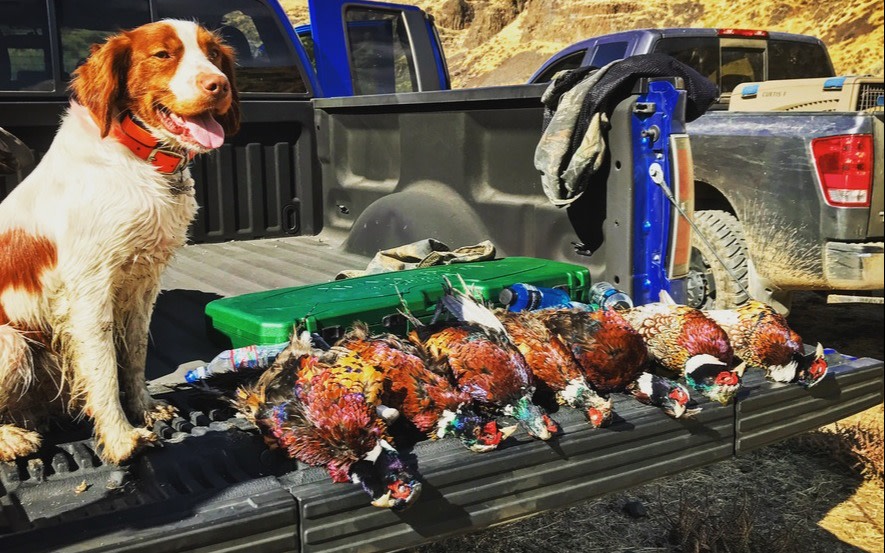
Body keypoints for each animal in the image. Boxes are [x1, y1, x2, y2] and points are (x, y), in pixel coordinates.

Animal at [0, 20, 239, 464]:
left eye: (214, 55)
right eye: (162, 55)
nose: (219, 85)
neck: (140, 160)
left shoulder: (144, 282)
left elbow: (135, 353)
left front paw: (145, 408)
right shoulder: (89, 289)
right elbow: (104, 367)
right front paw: (120, 436)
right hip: (10, 342)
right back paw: (10, 438)